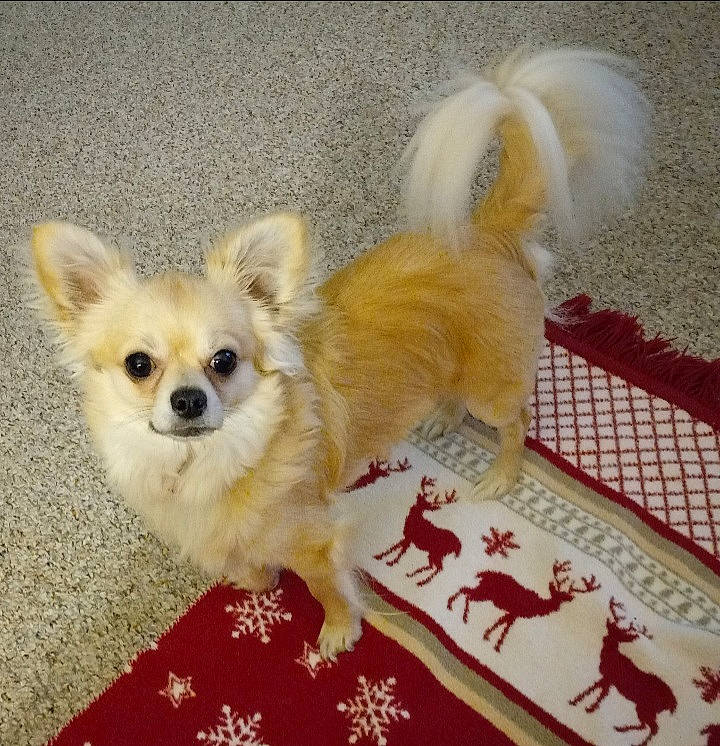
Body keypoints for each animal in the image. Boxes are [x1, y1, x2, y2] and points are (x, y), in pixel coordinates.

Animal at [447, 560, 600, 652]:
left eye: (562, 597)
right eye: (557, 594)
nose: (557, 607)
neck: (537, 604)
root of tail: (484, 573)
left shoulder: (514, 613)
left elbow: (503, 623)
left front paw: (488, 636)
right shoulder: (517, 611)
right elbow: (505, 626)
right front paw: (496, 644)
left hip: (483, 592)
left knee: (466, 590)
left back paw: (454, 607)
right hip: (485, 593)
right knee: (467, 592)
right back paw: (460, 612)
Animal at [569, 597, 677, 746]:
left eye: (620, 635)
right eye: (612, 629)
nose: (606, 638)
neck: (611, 656)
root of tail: (672, 701)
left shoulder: (610, 677)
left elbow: (601, 693)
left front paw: (590, 708)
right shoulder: (607, 678)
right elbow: (594, 688)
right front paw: (575, 701)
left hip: (647, 706)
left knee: (653, 728)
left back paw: (636, 741)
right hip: (644, 707)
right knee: (646, 725)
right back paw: (620, 729)